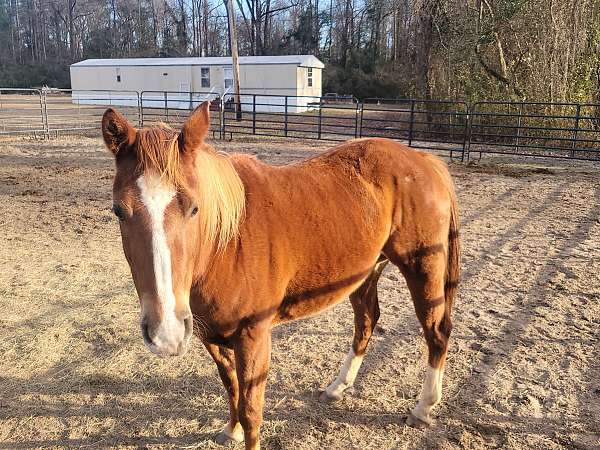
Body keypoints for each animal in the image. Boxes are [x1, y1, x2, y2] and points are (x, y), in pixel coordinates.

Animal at [103, 103, 460, 450]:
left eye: (194, 208)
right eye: (118, 211)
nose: (166, 333)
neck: (227, 243)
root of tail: (424, 160)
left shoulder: (254, 336)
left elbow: (251, 410)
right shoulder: (210, 336)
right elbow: (231, 387)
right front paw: (230, 430)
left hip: (422, 266)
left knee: (436, 331)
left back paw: (423, 407)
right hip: (367, 271)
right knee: (367, 321)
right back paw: (337, 387)